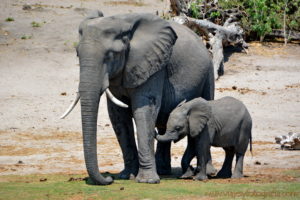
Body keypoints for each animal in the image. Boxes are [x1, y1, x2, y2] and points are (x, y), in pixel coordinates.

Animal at [62, 12, 214, 184]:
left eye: (111, 55)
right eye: (77, 54)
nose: (109, 178)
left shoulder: (153, 65)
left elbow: (144, 109)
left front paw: (147, 181)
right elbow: (118, 116)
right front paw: (126, 176)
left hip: (208, 72)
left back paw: (208, 172)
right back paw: (163, 171)